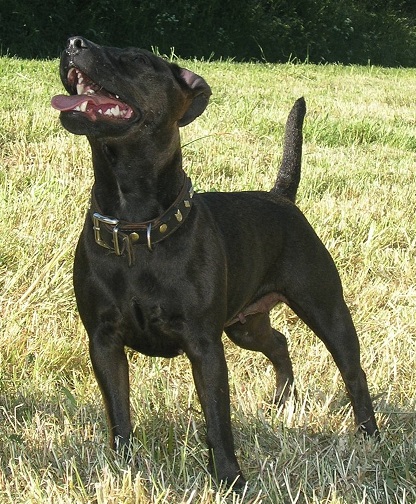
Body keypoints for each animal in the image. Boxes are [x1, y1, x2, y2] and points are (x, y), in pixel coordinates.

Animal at [51, 36, 379, 489]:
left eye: (137, 59)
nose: (72, 43)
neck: (136, 229)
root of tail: (280, 196)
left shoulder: (204, 345)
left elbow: (217, 421)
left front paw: (230, 479)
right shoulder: (104, 342)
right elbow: (119, 414)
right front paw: (122, 469)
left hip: (325, 308)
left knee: (353, 371)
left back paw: (369, 433)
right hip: (245, 325)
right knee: (280, 343)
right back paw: (281, 401)